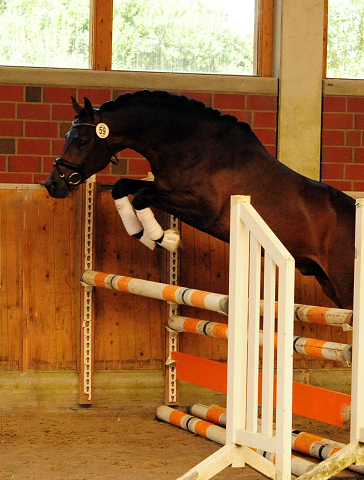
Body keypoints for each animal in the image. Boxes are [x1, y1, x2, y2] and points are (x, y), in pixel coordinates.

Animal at [44, 90, 356, 310]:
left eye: (82, 141)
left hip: (345, 284)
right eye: (67, 136)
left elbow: (142, 196)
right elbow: (123, 187)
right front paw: (143, 235)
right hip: (327, 282)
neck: (188, 143)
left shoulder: (203, 210)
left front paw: (164, 239)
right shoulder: (164, 187)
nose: (53, 184)